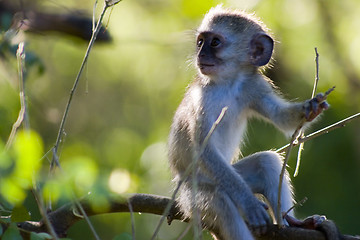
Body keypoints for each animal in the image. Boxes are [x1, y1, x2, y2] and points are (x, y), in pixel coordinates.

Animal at [169, 5, 332, 240]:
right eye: (200, 42)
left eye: (214, 42)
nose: (201, 55)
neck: (229, 83)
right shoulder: (202, 98)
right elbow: (203, 148)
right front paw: (250, 204)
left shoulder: (253, 85)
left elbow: (280, 118)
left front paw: (310, 108)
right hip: (193, 193)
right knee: (222, 202)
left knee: (267, 162)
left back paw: (291, 222)